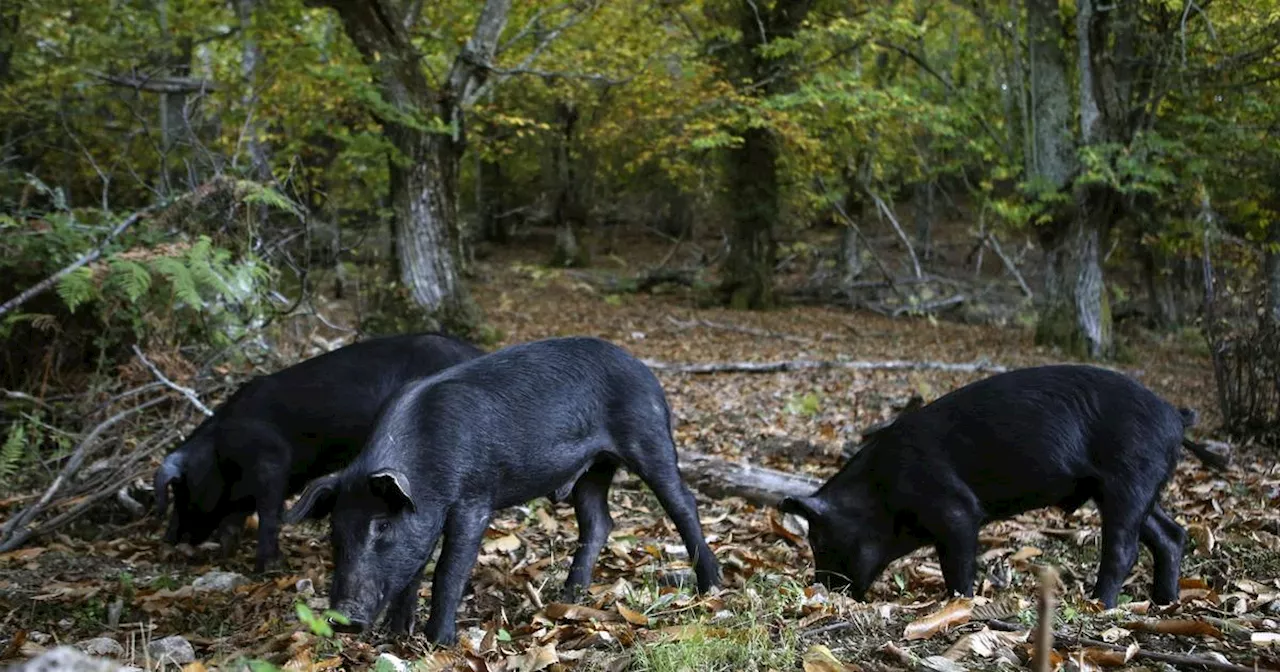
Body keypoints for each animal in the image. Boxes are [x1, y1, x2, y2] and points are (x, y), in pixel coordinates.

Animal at [154, 332, 481, 568]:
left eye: (181, 489)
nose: (169, 540)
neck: (221, 448)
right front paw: (226, 551)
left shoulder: (272, 459)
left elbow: (269, 511)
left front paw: (270, 566)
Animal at [285, 337, 721, 642]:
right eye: (336, 532)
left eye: (382, 526)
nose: (342, 618)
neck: (425, 464)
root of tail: (645, 371)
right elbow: (412, 569)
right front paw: (395, 637)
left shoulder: (474, 498)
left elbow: (448, 569)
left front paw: (439, 643)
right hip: (593, 468)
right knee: (599, 521)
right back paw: (570, 597)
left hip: (648, 434)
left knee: (683, 502)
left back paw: (712, 588)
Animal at [778, 363, 1228, 604]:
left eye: (819, 540)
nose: (819, 589)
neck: (881, 491)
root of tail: (1175, 415)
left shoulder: (957, 510)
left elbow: (956, 565)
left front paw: (957, 603)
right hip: (1135, 487)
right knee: (1170, 534)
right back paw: (1165, 603)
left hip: (1128, 479)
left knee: (1124, 548)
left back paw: (1099, 603)